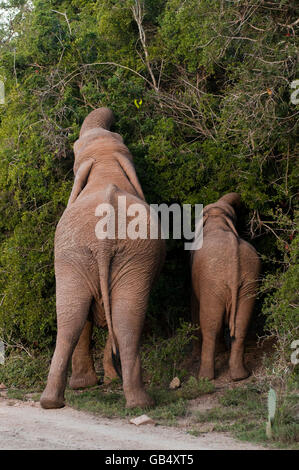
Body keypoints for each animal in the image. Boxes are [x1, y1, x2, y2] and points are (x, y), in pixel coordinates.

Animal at [40, 108, 165, 410]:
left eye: (74, 150)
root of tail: (104, 238)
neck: (106, 164)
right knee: (101, 317)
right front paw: (100, 381)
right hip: (87, 256)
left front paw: (102, 380)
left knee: (92, 318)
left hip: (120, 258)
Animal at [192, 193, 260, 380]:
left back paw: (204, 378)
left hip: (213, 282)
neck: (218, 219)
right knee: (241, 323)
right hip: (249, 280)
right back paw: (240, 376)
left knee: (211, 325)